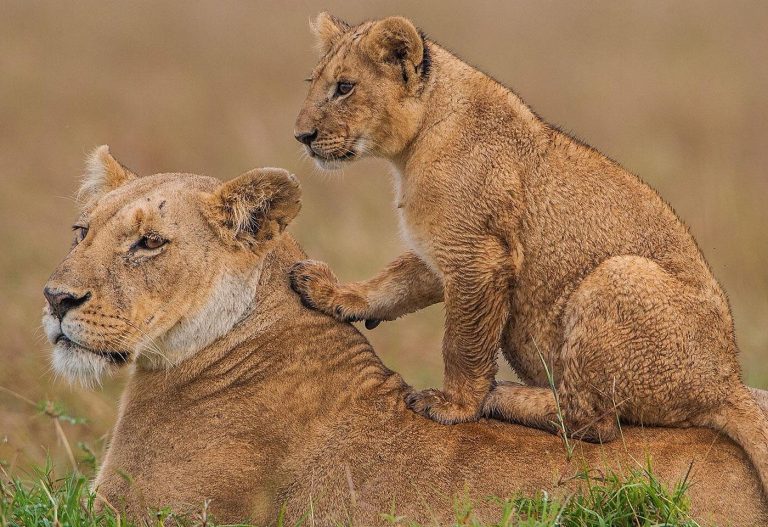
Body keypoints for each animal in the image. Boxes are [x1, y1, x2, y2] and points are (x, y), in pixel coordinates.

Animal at [290, 13, 768, 495]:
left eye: (344, 87)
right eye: (313, 82)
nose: (302, 136)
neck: (413, 148)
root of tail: (727, 381)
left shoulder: (479, 254)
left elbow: (462, 343)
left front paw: (454, 405)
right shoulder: (440, 251)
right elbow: (393, 283)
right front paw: (332, 293)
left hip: (618, 274)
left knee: (594, 421)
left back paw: (502, 396)